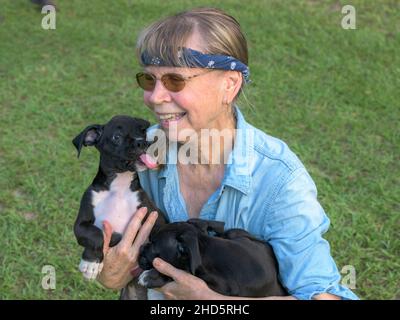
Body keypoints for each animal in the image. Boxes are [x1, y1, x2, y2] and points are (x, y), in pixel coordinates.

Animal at [72, 115, 166, 280]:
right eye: (117, 137)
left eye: (142, 132)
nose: (142, 142)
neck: (119, 186)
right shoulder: (80, 224)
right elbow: (96, 235)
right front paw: (91, 262)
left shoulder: (156, 217)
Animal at [138, 219, 288, 296]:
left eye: (153, 244)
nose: (141, 248)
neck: (204, 247)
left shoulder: (221, 286)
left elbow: (182, 271)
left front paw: (150, 276)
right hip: (236, 233)